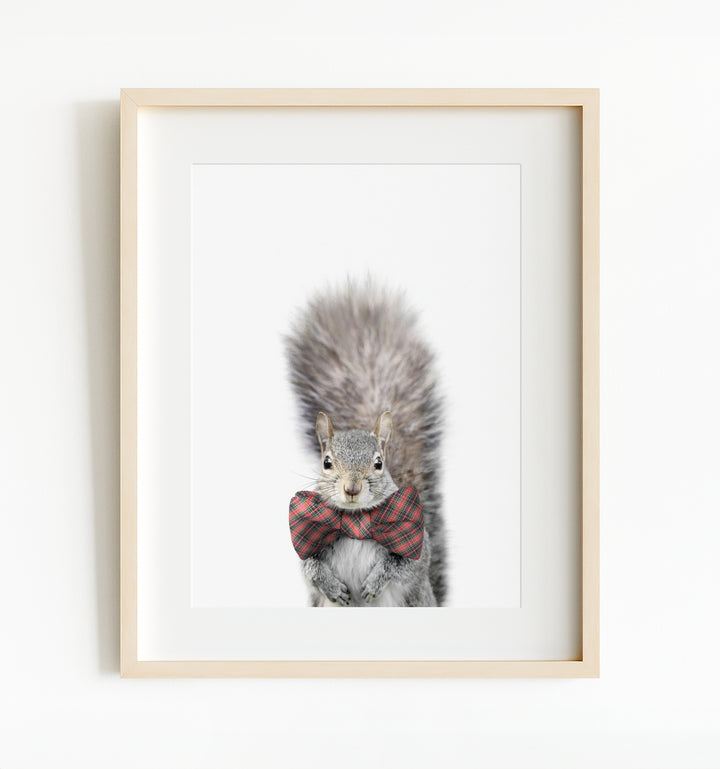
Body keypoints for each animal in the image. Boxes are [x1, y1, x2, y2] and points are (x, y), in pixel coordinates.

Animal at [285, 280, 447, 607]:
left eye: (378, 463)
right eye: (327, 463)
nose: (352, 488)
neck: (354, 523)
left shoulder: (414, 543)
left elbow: (402, 565)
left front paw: (374, 582)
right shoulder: (307, 538)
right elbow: (310, 569)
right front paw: (332, 587)